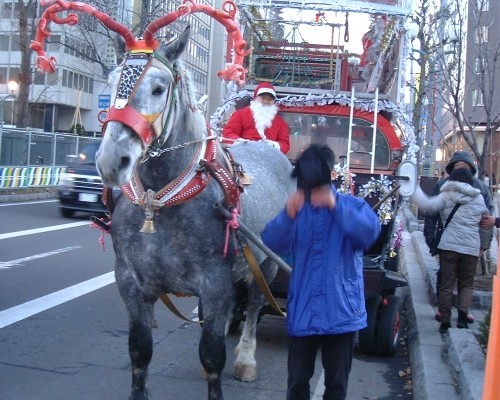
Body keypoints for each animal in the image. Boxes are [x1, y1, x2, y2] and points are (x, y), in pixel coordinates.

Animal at [95, 27, 292, 400]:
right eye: (111, 82)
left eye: (158, 88)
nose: (112, 160)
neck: (160, 201)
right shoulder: (129, 281)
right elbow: (139, 351)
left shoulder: (214, 283)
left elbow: (212, 355)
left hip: (266, 263)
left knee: (255, 304)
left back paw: (246, 358)